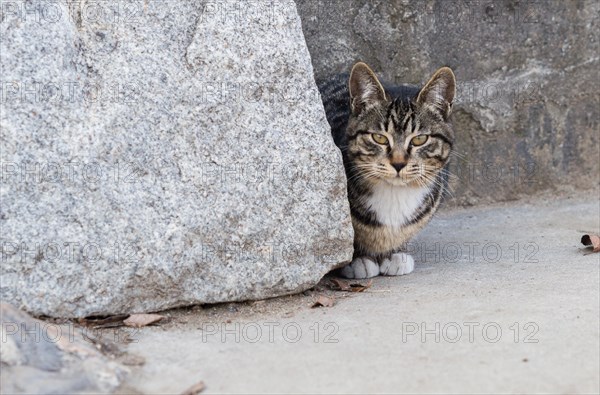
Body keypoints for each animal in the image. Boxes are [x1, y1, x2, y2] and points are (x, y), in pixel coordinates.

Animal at [318, 61, 454, 278]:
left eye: (419, 139)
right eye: (379, 138)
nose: (398, 163)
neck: (395, 194)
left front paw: (395, 253)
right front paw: (358, 259)